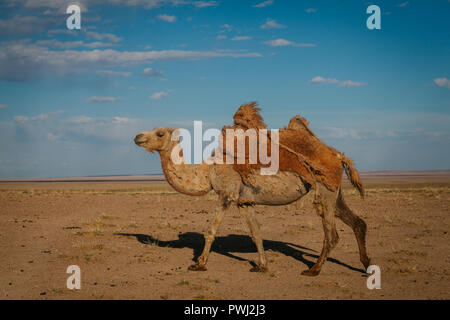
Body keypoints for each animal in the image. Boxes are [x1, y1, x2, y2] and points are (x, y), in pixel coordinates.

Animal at [134, 107, 372, 276]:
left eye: (159, 133)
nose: (137, 137)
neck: (208, 170)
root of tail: (338, 155)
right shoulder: (244, 201)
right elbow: (256, 233)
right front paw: (261, 265)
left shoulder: (227, 194)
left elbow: (211, 230)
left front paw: (199, 264)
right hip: (334, 190)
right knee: (357, 222)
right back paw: (366, 265)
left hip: (324, 189)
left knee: (331, 233)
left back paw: (313, 270)